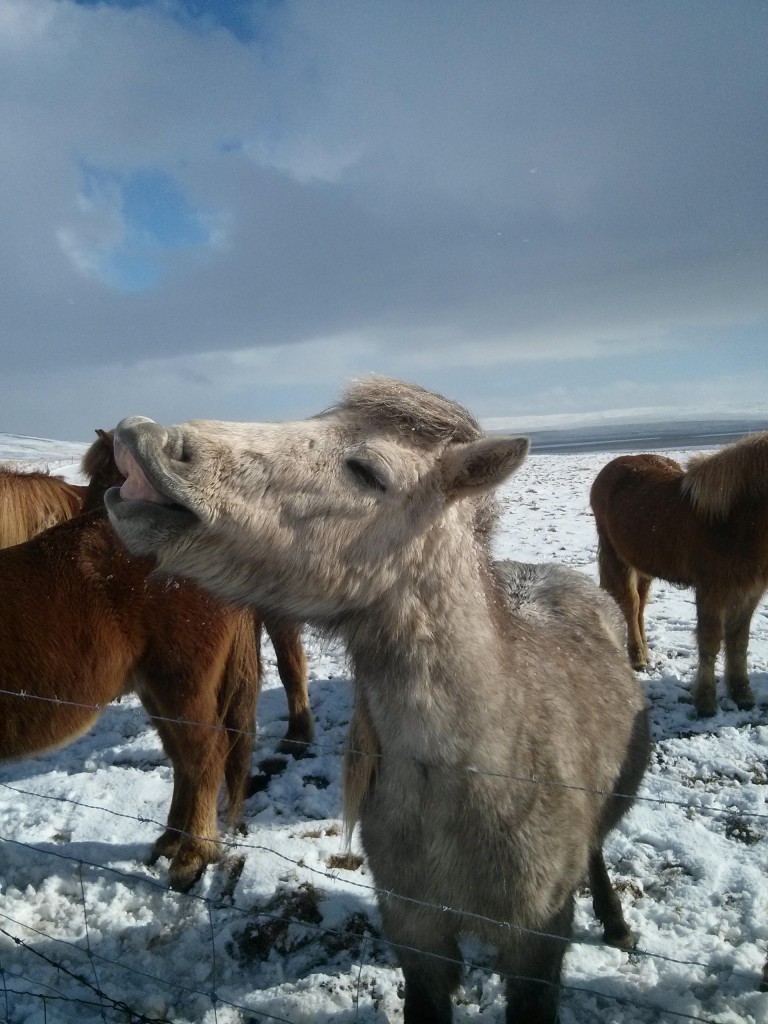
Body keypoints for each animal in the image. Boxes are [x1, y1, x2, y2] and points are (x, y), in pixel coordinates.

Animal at [0, 432, 313, 888]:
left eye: (116, 477)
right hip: (158, 685)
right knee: (185, 758)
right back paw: (170, 841)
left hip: (183, 679)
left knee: (208, 752)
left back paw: (194, 855)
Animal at [593, 436, 768, 716]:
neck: (733, 520)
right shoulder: (711, 590)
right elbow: (710, 641)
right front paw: (706, 701)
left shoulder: (750, 591)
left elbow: (739, 642)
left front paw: (741, 693)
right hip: (618, 559)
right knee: (629, 605)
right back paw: (637, 658)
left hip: (644, 564)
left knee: (640, 607)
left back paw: (645, 653)